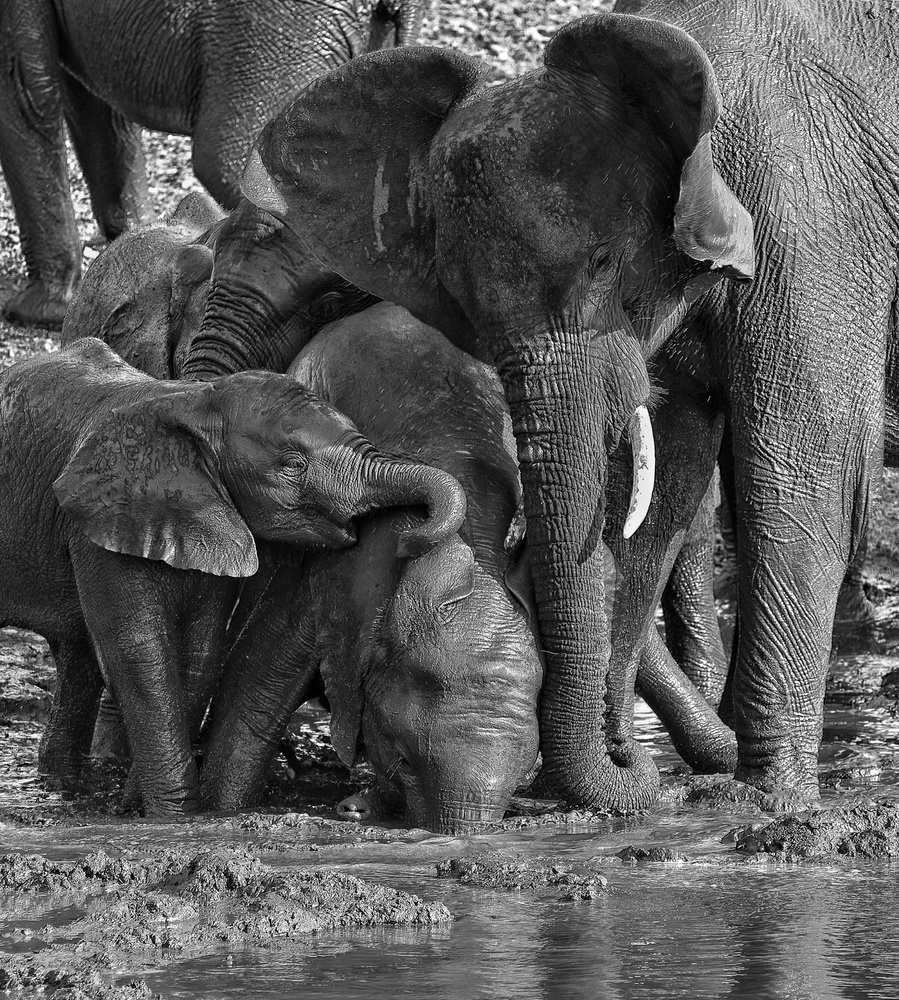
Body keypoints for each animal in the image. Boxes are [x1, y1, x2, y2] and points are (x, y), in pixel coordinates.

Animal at [0, 336, 464, 812]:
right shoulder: (101, 521)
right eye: (293, 465)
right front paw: (171, 817)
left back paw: (58, 786)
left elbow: (200, 652)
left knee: (78, 655)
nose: (411, 539)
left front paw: (141, 807)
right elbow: (139, 650)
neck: (196, 402)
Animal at [201, 304, 544, 836]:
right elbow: (256, 685)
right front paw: (216, 810)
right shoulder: (337, 571)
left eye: (524, 778)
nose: (355, 807)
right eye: (402, 758)